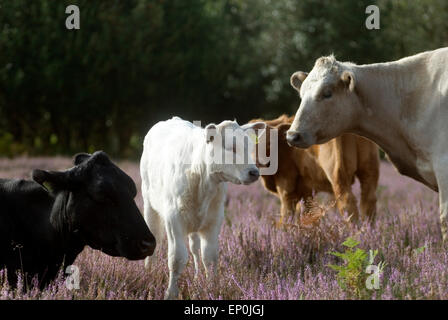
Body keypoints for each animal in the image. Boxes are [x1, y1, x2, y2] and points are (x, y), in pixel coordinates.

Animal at [250, 115, 380, 225]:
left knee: (347, 203)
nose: (257, 162)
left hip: (338, 173)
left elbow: (285, 218)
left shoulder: (286, 189)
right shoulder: (306, 191)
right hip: (370, 170)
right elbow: (307, 215)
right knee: (368, 201)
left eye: (268, 143)